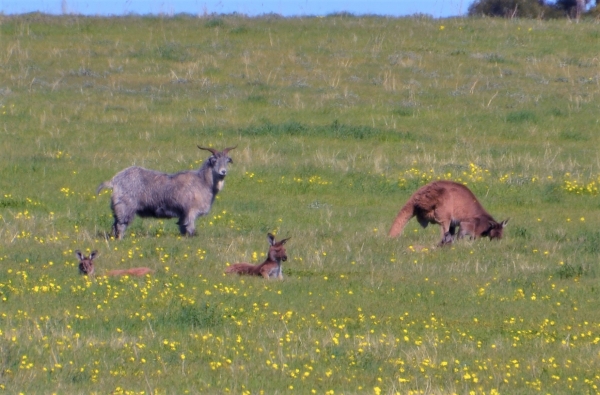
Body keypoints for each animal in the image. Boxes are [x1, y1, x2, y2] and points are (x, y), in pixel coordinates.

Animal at [96, 145, 234, 238]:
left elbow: (182, 226)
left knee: (115, 224)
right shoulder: (191, 211)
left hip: (118, 208)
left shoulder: (183, 213)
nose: (223, 172)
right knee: (120, 225)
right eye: (214, 161)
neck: (203, 181)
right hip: (125, 207)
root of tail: (114, 180)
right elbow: (189, 228)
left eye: (227, 160)